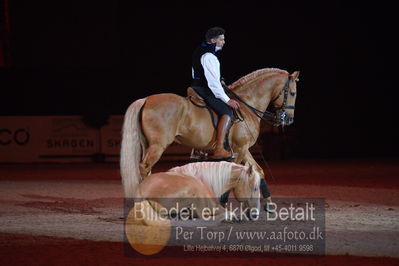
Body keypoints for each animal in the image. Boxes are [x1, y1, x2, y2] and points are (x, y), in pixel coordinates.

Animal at [120, 68, 298, 197]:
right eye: (293, 93)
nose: (288, 119)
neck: (246, 105)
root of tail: (146, 100)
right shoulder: (239, 150)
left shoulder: (243, 149)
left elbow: (259, 172)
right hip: (157, 146)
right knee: (144, 168)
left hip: (147, 145)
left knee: (146, 170)